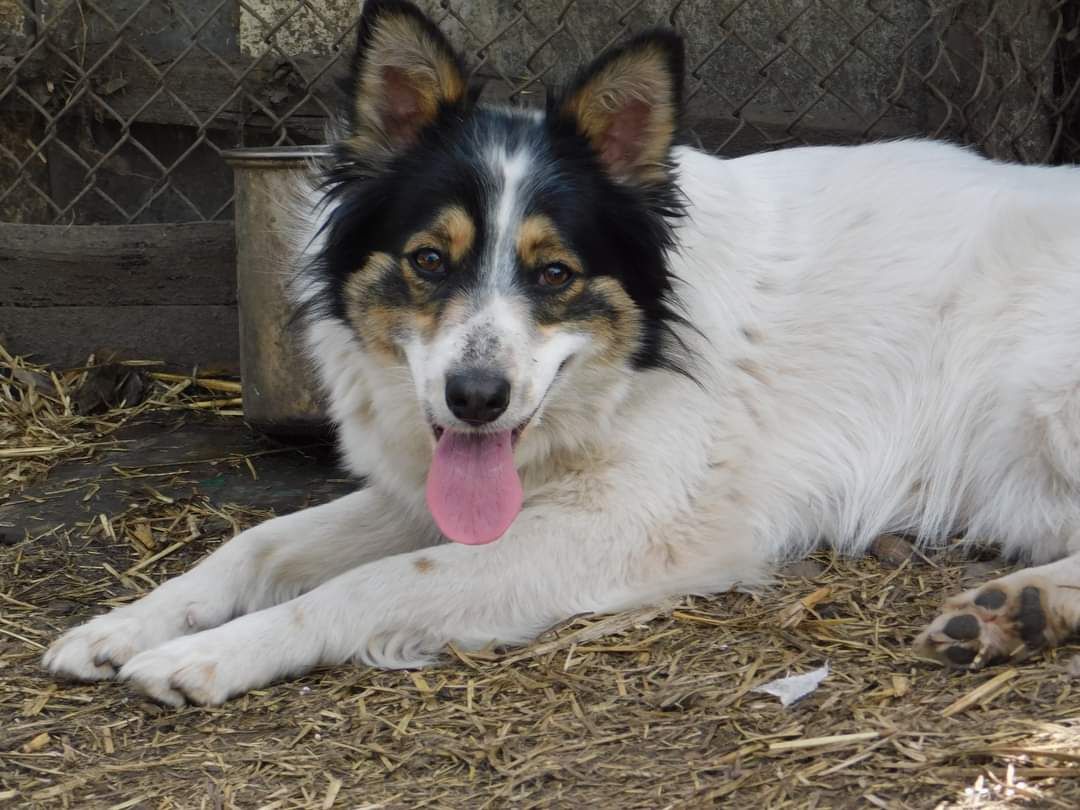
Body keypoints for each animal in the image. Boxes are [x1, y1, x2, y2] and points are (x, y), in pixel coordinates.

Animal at [42, 0, 1080, 704]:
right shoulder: (436, 494)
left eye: (553, 274)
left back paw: (1019, 607)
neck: (639, 360)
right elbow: (257, 541)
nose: (476, 398)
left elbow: (372, 583)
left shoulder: (616, 528)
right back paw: (1013, 613)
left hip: (1048, 405)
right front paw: (122, 626)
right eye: (429, 261)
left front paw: (206, 654)